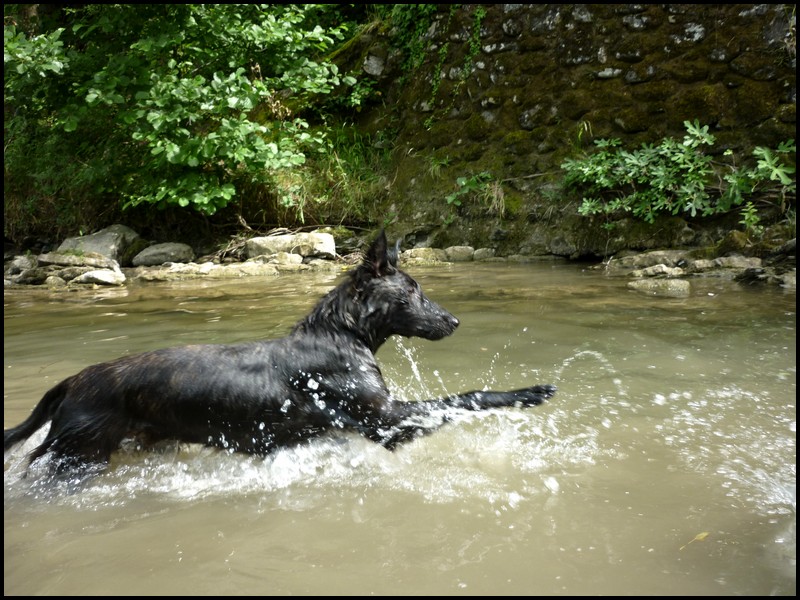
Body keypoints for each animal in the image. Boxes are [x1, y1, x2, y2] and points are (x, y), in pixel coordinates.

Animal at [4, 230, 556, 478]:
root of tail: (71, 381)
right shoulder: (385, 421)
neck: (341, 335)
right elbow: (468, 396)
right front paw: (530, 391)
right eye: (413, 291)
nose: (454, 321)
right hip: (76, 457)